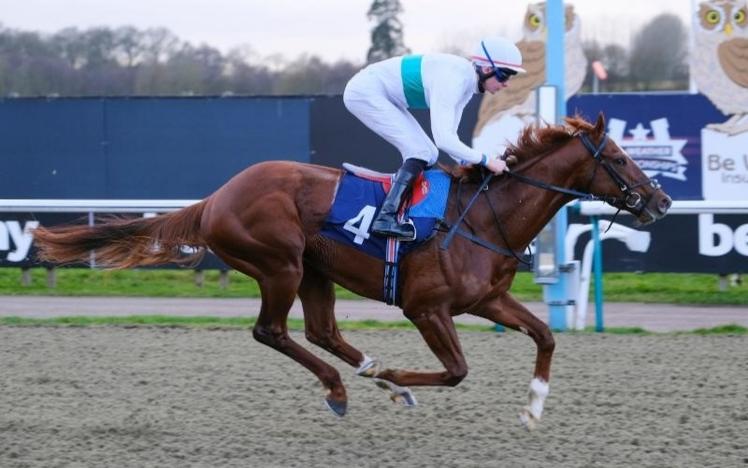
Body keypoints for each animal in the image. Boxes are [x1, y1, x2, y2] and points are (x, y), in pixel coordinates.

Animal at [32, 112, 672, 428]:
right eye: (618, 159)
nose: (661, 201)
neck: (483, 218)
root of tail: (215, 199)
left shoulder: (486, 300)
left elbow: (544, 335)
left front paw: (533, 407)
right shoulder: (426, 308)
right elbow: (457, 371)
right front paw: (396, 380)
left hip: (314, 271)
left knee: (321, 330)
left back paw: (372, 376)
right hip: (279, 264)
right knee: (273, 331)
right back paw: (345, 387)